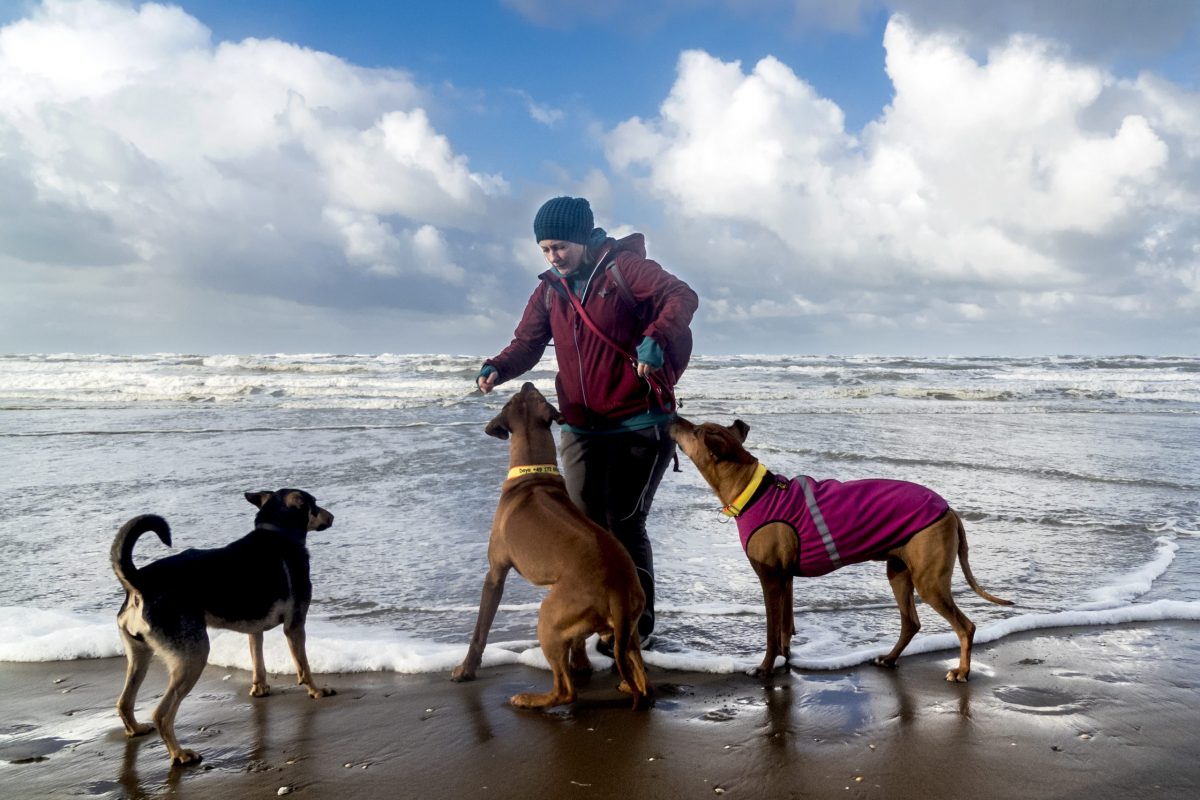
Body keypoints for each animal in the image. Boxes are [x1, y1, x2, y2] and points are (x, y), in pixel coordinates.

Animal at [110, 489, 336, 762]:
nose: (332, 517)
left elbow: (258, 662)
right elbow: (304, 665)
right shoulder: (295, 624)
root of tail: (139, 581)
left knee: (124, 702)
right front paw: (316, 691)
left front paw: (260, 689)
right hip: (193, 657)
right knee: (161, 714)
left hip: (139, 656)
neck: (278, 532)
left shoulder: (254, 629)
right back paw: (180, 754)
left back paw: (136, 729)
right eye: (314, 504)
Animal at [451, 383, 657, 710]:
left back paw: (530, 699)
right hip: (628, 625)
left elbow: (480, 630)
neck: (534, 475)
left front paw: (466, 669)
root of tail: (619, 589)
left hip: (548, 617)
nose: (527, 383)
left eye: (512, 399)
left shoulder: (495, 573)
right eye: (533, 396)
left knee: (565, 691)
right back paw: (628, 684)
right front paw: (581, 662)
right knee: (639, 673)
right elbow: (577, 641)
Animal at [672, 417, 1008, 686]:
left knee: (965, 626)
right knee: (911, 622)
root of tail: (949, 509)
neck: (754, 491)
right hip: (899, 571)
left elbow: (770, 633)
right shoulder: (786, 580)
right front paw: (785, 660)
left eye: (696, 430)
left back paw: (961, 671)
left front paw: (765, 669)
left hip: (930, 580)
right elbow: (784, 630)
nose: (673, 417)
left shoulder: (770, 580)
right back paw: (889, 658)